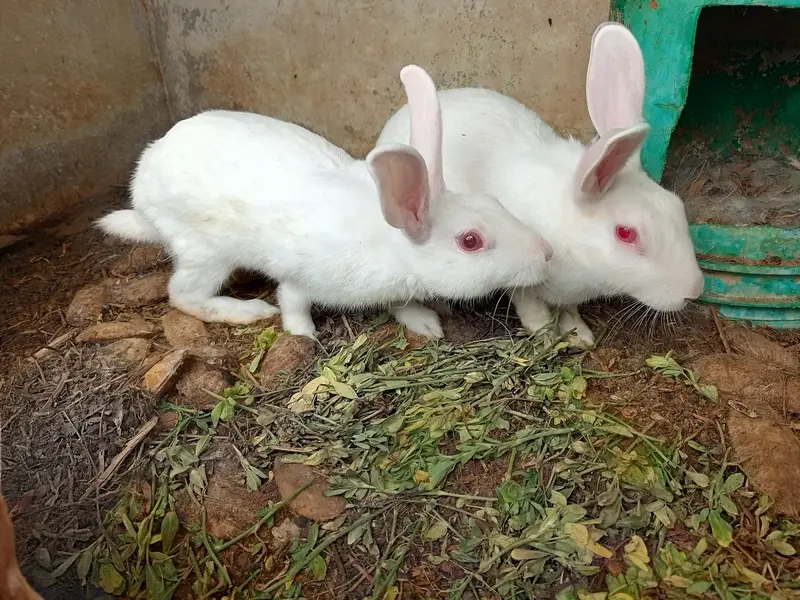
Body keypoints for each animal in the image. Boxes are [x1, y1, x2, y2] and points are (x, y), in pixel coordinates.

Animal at [97, 65, 553, 339]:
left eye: (494, 203)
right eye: (470, 241)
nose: (546, 254)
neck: (390, 244)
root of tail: (143, 183)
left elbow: (401, 304)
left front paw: (426, 323)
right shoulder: (302, 277)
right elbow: (292, 301)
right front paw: (303, 335)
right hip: (205, 252)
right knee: (182, 295)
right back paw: (246, 312)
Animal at [377, 23, 705, 346]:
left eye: (677, 206)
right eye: (626, 233)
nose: (694, 291)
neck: (571, 237)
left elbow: (568, 310)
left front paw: (580, 335)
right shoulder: (523, 278)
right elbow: (529, 304)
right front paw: (545, 333)